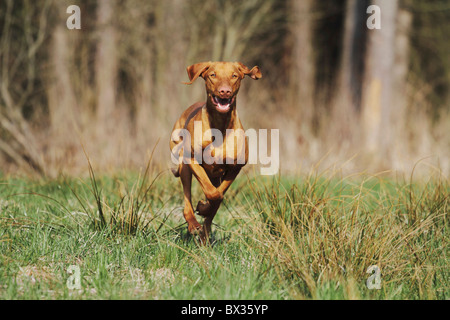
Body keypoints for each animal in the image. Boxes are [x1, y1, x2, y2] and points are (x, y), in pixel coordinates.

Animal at [169, 61, 260, 244]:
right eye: (213, 75)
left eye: (234, 75)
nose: (225, 91)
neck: (219, 124)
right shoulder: (192, 160)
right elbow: (212, 194)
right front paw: (202, 208)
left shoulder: (235, 168)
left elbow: (217, 196)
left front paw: (205, 208)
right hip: (184, 166)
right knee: (187, 201)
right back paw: (193, 224)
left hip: (214, 175)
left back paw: (204, 235)